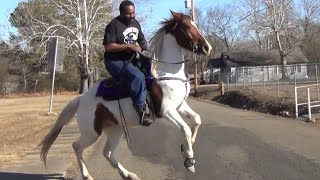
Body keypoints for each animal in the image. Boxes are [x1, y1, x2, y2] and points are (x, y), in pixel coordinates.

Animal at [40, 10, 212, 180]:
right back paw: (87, 175)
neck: (166, 72)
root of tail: (81, 99)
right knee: (77, 146)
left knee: (107, 153)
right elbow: (185, 129)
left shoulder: (180, 105)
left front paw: (187, 146)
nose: (207, 47)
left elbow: (196, 120)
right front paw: (189, 160)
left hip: (115, 129)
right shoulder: (167, 110)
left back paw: (129, 174)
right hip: (92, 132)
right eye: (187, 27)